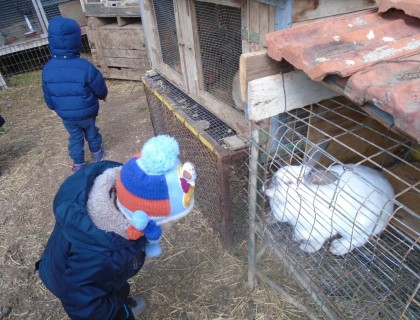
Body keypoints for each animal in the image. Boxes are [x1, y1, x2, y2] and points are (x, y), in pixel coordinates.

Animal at [266, 154, 394, 256]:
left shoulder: (317, 231)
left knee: (358, 239)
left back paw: (337, 248)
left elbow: (317, 241)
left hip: (359, 226)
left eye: (289, 182)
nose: (266, 185)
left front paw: (307, 248)